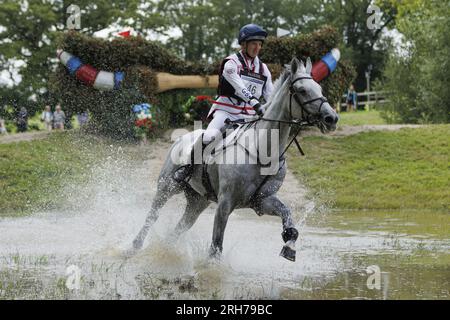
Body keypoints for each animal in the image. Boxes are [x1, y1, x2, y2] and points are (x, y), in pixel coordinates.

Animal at [132, 57, 340, 262]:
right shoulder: (225, 203)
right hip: (167, 187)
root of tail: (181, 138)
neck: (262, 152)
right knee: (152, 216)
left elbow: (288, 218)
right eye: (302, 90)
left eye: (319, 88)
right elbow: (216, 247)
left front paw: (289, 248)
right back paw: (135, 246)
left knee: (179, 228)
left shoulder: (263, 201)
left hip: (198, 200)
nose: (332, 118)